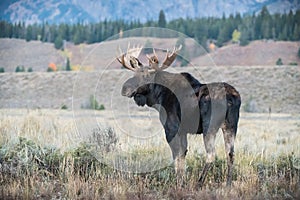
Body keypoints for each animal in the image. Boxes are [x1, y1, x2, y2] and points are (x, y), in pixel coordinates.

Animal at [117, 44, 241, 188]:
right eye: (134, 73)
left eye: (146, 76)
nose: (125, 89)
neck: (159, 97)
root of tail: (231, 97)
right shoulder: (183, 131)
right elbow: (183, 155)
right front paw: (182, 181)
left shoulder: (171, 128)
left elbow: (176, 156)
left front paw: (178, 183)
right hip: (231, 125)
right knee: (230, 153)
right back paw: (228, 184)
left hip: (209, 126)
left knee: (211, 154)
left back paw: (199, 183)